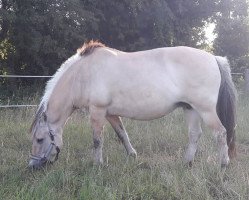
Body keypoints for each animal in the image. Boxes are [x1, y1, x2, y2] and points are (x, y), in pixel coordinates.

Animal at [28, 40, 236, 169]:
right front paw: (132, 155)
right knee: (194, 135)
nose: (32, 166)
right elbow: (122, 134)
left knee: (221, 133)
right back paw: (187, 163)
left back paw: (223, 164)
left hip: (206, 110)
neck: (82, 75)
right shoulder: (110, 113)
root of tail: (214, 58)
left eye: (39, 139)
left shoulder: (97, 111)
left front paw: (97, 164)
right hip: (190, 108)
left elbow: (97, 140)